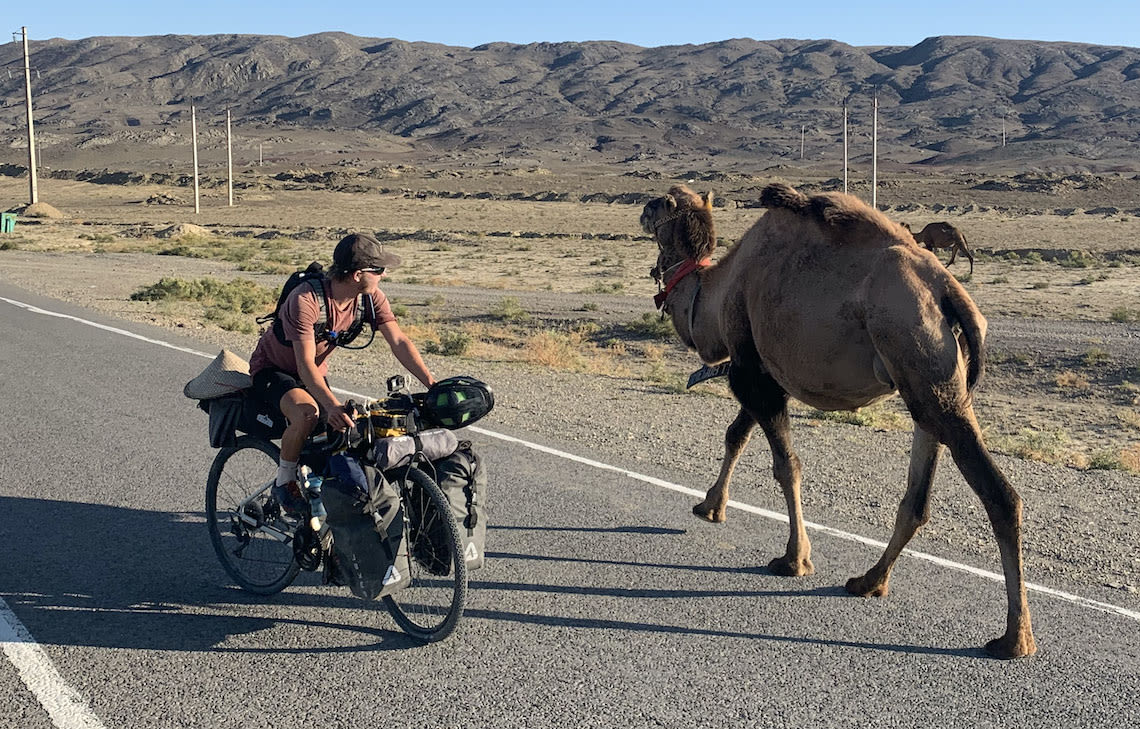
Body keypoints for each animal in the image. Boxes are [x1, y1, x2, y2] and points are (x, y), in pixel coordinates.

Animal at [642, 183, 1035, 661]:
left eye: (658, 204)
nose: (642, 211)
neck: (715, 295)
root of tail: (949, 290)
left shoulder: (750, 369)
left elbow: (786, 466)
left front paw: (794, 559)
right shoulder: (764, 371)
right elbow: (736, 435)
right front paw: (710, 506)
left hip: (918, 356)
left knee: (1000, 495)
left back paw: (1014, 638)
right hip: (933, 378)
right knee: (917, 497)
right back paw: (869, 581)